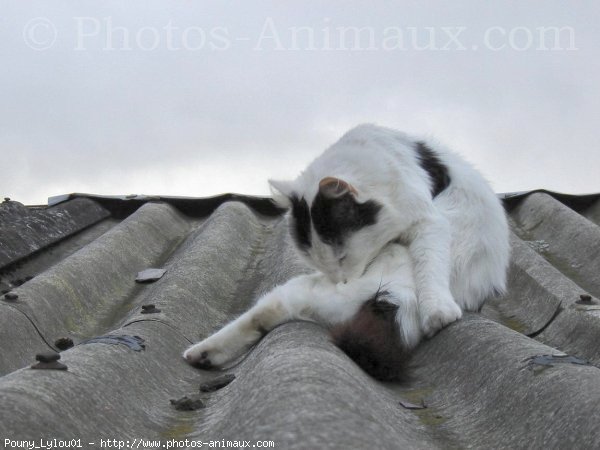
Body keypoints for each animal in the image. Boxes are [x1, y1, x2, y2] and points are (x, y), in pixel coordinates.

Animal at [182, 124, 506, 372]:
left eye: (342, 255)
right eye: (319, 260)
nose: (341, 280)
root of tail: (396, 298)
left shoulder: (428, 220)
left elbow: (431, 262)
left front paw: (438, 311)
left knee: (271, 310)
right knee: (267, 312)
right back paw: (201, 353)